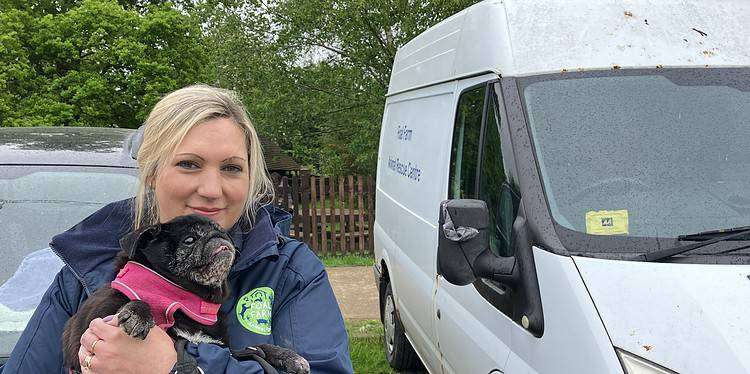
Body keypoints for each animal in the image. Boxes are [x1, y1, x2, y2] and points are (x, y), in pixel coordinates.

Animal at [61, 215, 312, 374]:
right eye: (190, 240)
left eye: (222, 231)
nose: (218, 236)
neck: (182, 300)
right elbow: (138, 301)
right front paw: (138, 313)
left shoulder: (228, 350)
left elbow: (258, 347)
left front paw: (289, 356)